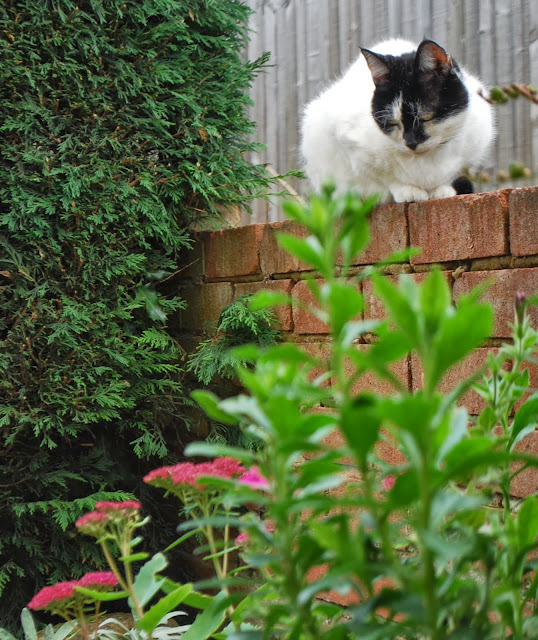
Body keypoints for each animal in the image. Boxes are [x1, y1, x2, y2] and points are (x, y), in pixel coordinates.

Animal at [300, 38, 494, 203]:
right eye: (393, 123)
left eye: (426, 117)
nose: (411, 143)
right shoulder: (349, 140)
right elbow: (385, 176)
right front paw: (408, 191)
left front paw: (442, 189)